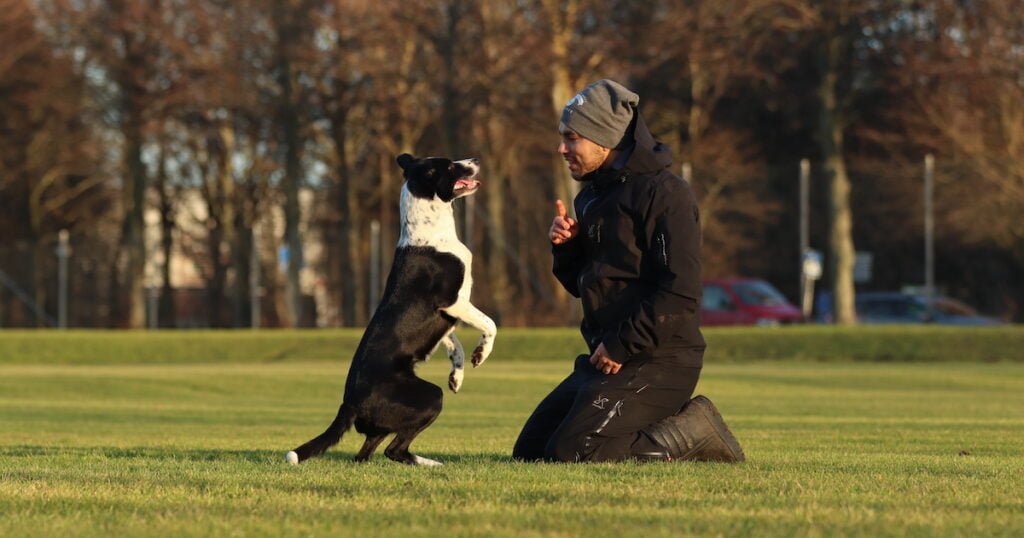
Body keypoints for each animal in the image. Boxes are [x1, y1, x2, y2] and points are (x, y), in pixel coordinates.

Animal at [286, 151, 497, 465]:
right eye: (449, 165)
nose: (476, 159)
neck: (430, 233)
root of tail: (349, 404)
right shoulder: (452, 302)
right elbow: (489, 323)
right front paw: (481, 354)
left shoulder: (446, 317)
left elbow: (454, 345)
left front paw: (457, 376)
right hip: (430, 398)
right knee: (394, 450)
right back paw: (429, 463)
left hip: (387, 421)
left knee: (366, 452)